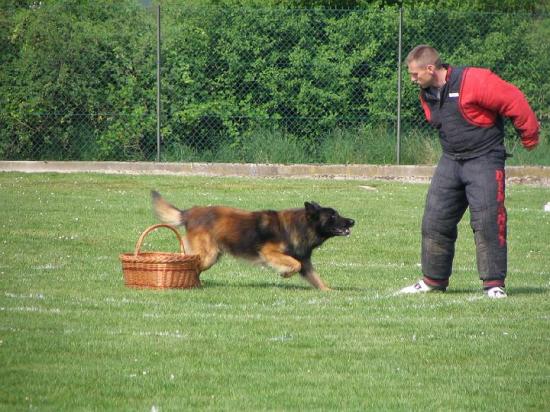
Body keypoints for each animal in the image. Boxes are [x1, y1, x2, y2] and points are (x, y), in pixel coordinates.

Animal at [152, 192, 358, 292]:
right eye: (333, 216)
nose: (352, 221)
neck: (300, 226)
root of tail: (190, 212)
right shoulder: (269, 253)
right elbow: (295, 265)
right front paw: (285, 273)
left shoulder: (306, 261)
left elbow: (316, 278)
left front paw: (329, 291)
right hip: (208, 255)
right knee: (191, 265)